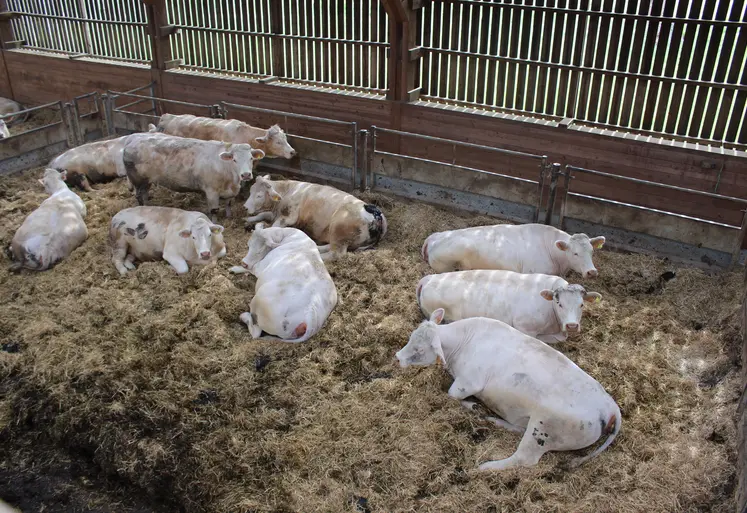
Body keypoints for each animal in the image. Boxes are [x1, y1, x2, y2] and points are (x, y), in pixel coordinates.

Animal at [122, 132, 265, 221]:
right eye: (234, 159)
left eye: (251, 158)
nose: (246, 174)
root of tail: (133, 138)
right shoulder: (211, 191)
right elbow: (214, 210)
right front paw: (215, 223)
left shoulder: (230, 191)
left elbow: (229, 204)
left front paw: (229, 217)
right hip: (137, 180)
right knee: (139, 196)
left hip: (147, 181)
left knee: (145, 194)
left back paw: (148, 206)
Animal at [243, 175, 388, 261]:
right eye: (250, 191)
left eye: (259, 196)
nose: (244, 207)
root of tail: (376, 213)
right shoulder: (275, 213)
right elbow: (263, 214)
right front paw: (247, 221)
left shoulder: (289, 216)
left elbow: (274, 226)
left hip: (339, 231)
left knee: (336, 254)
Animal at [396, 309, 621, 471]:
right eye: (411, 336)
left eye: (419, 350)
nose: (397, 357)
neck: (461, 345)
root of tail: (610, 407)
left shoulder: (469, 382)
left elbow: (451, 395)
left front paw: (472, 405)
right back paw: (493, 420)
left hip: (544, 429)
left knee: (524, 459)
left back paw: (485, 467)